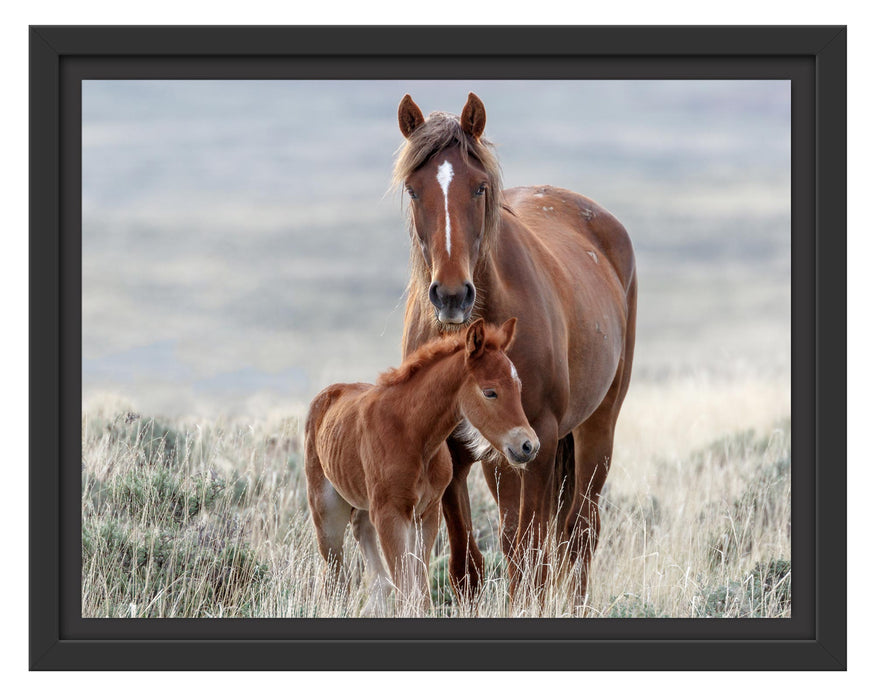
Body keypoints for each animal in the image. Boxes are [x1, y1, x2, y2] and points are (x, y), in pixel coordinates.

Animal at [302, 318, 536, 612]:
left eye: (518, 387)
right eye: (490, 392)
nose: (528, 446)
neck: (413, 435)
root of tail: (326, 394)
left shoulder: (426, 514)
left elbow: (420, 590)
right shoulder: (390, 515)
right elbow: (406, 588)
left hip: (366, 507)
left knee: (368, 553)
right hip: (327, 513)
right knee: (335, 575)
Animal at [396, 90, 636, 600]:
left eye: (479, 187)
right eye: (413, 189)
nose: (451, 296)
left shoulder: (539, 438)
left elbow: (531, 554)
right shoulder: (455, 447)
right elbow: (469, 564)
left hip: (594, 430)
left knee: (578, 533)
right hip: (505, 457)